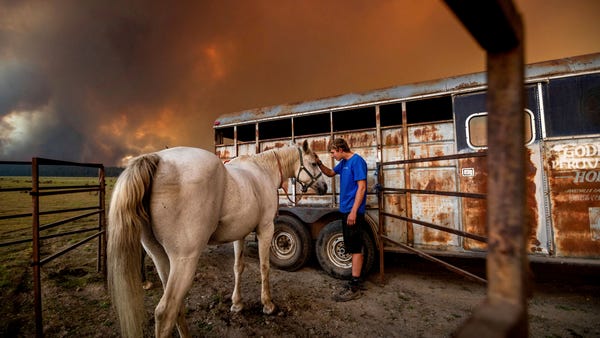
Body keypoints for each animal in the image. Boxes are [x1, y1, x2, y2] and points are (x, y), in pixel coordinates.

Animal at [105, 141, 326, 336]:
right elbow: (264, 267)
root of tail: (157, 158)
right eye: (314, 163)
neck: (263, 172)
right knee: (165, 312)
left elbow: (238, 267)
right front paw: (268, 304)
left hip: (160, 257)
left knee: (177, 306)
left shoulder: (240, 234)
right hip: (184, 260)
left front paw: (237, 303)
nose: (324, 187)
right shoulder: (265, 229)